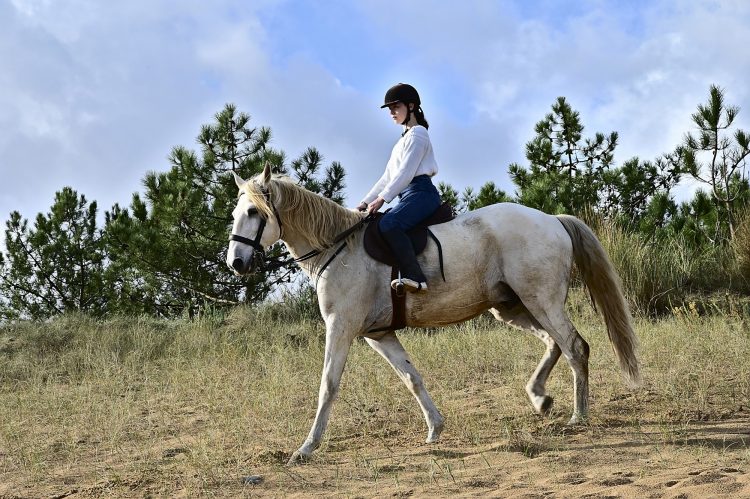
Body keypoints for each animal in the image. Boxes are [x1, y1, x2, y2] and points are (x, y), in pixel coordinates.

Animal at [226, 164, 641, 465]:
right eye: (235, 213)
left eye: (253, 212)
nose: (236, 263)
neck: (338, 248)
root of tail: (552, 219)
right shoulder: (379, 335)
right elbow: (412, 378)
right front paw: (435, 429)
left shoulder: (341, 329)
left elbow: (327, 386)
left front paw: (305, 448)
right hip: (511, 307)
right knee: (554, 344)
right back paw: (540, 398)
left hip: (542, 300)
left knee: (574, 346)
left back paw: (578, 416)